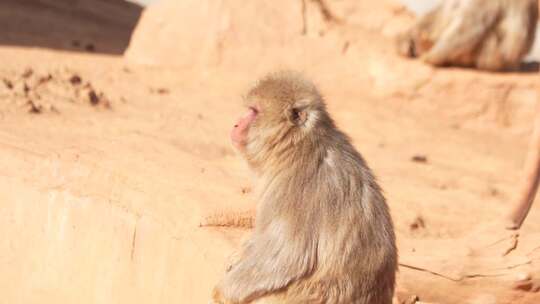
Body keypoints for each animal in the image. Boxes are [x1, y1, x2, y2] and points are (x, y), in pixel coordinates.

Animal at [211, 72, 396, 304]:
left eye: (254, 112)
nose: (236, 124)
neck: (295, 146)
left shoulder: (294, 188)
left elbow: (287, 255)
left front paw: (222, 291)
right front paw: (242, 252)